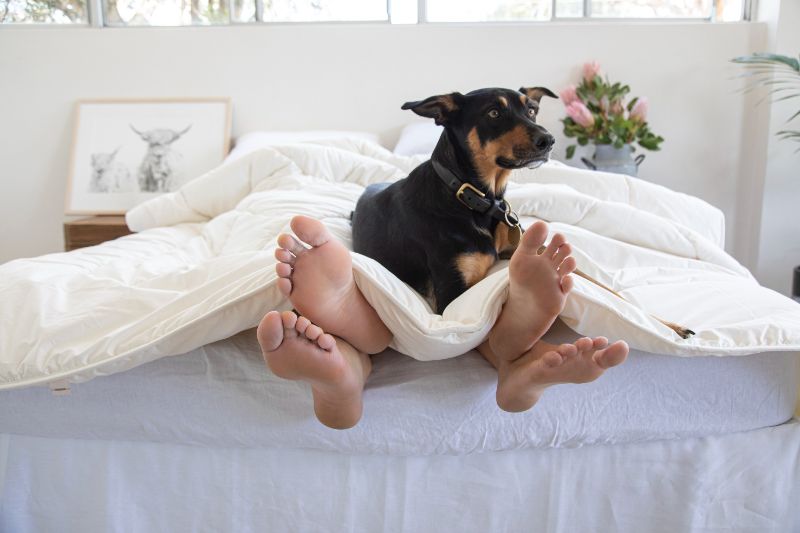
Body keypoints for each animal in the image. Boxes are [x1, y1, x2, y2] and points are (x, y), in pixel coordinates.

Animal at [352, 87, 692, 336]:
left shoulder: (534, 249)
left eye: (531, 110)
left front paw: (669, 324)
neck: (478, 199)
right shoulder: (452, 297)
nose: (548, 140)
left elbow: (613, 292)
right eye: (493, 112)